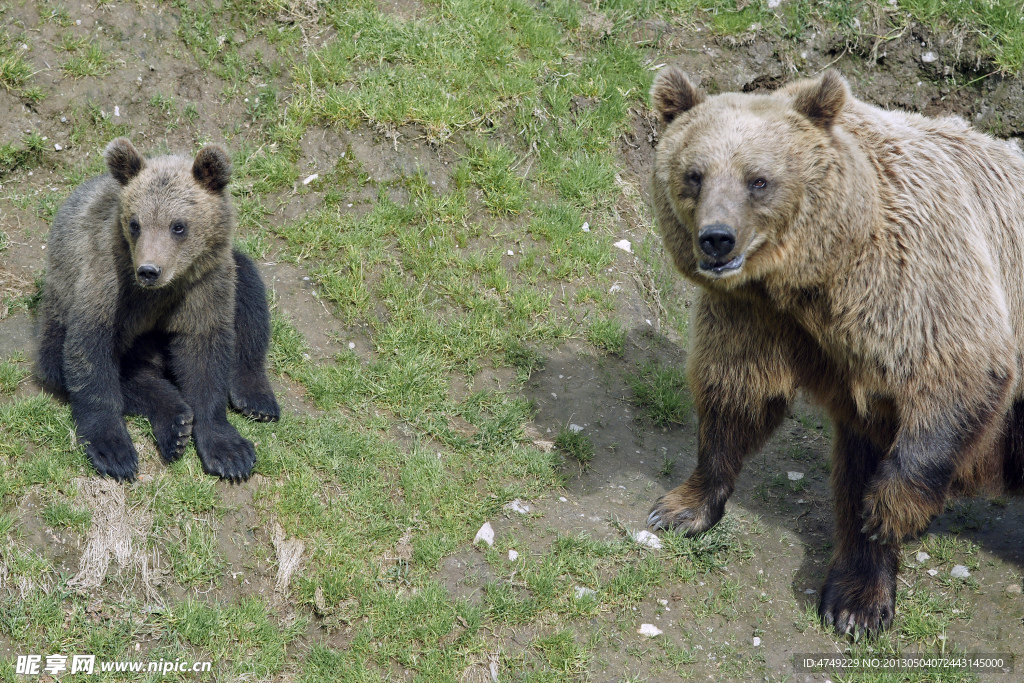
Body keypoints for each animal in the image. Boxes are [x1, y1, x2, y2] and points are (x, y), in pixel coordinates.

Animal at [36, 137, 280, 482]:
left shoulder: (203, 286)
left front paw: (229, 452)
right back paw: (174, 418)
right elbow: (91, 352)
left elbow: (205, 355)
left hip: (232, 271)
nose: (149, 270)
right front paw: (113, 449)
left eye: (178, 226)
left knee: (249, 303)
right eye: (135, 224)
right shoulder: (109, 282)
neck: (162, 291)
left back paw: (254, 399)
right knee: (67, 363)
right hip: (58, 305)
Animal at [647, 67, 1024, 636]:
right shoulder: (757, 316)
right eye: (694, 175)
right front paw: (681, 507)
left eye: (758, 179)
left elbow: (958, 372)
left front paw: (889, 511)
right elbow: (737, 397)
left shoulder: (916, 274)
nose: (717, 239)